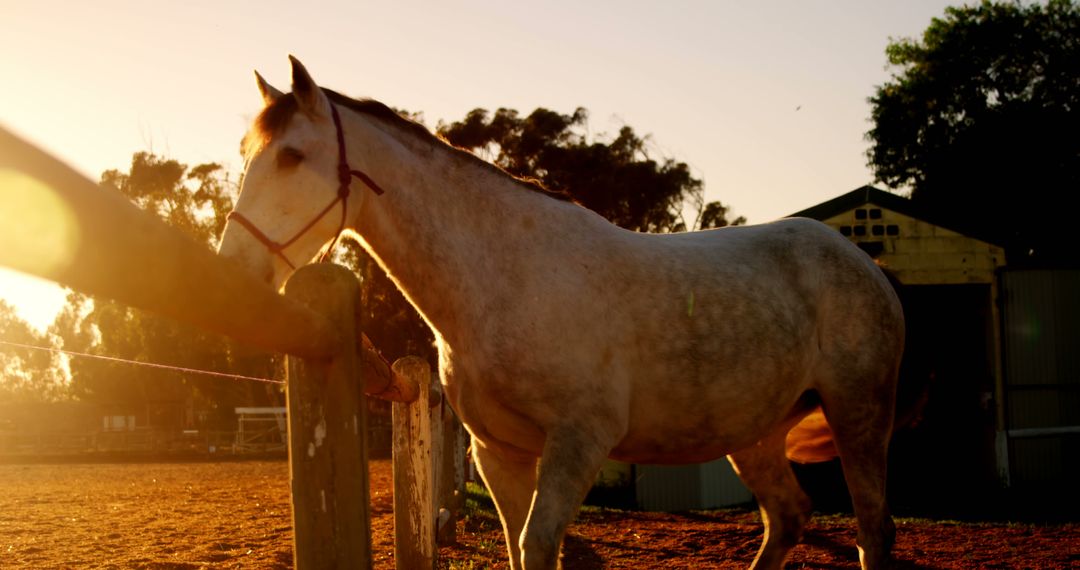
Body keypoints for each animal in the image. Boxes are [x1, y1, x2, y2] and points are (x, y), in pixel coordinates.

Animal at [219, 57, 902, 570]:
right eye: (248, 152)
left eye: (292, 156)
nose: (234, 275)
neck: (504, 278)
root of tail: (865, 262)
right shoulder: (500, 454)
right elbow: (520, 549)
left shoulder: (578, 442)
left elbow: (539, 546)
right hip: (754, 435)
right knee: (788, 518)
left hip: (859, 419)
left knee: (873, 529)